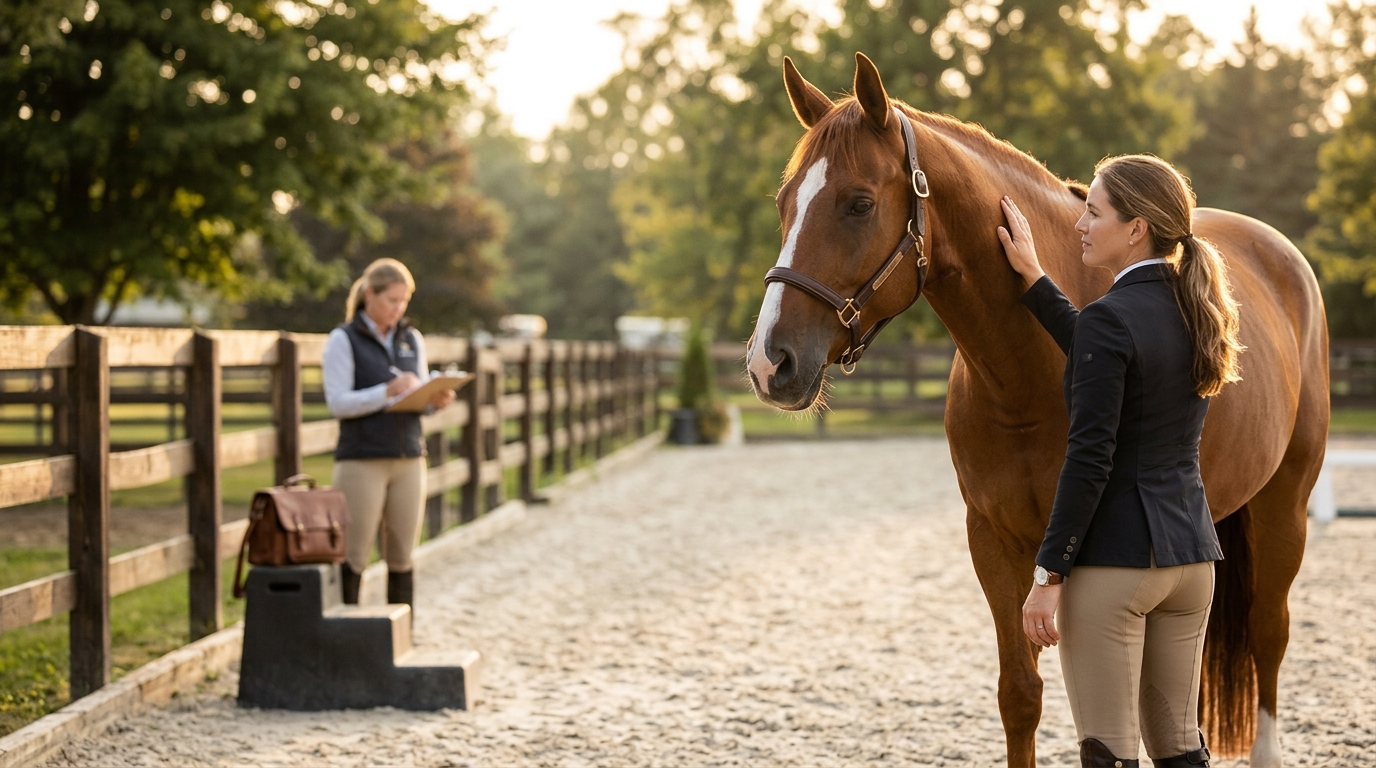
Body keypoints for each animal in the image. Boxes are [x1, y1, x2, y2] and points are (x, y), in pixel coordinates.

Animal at [746, 52, 1328, 768]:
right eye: (784, 203)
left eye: (859, 203)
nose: (770, 363)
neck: (1027, 377)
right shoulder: (994, 541)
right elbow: (1019, 694)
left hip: (1284, 507)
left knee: (1269, 632)